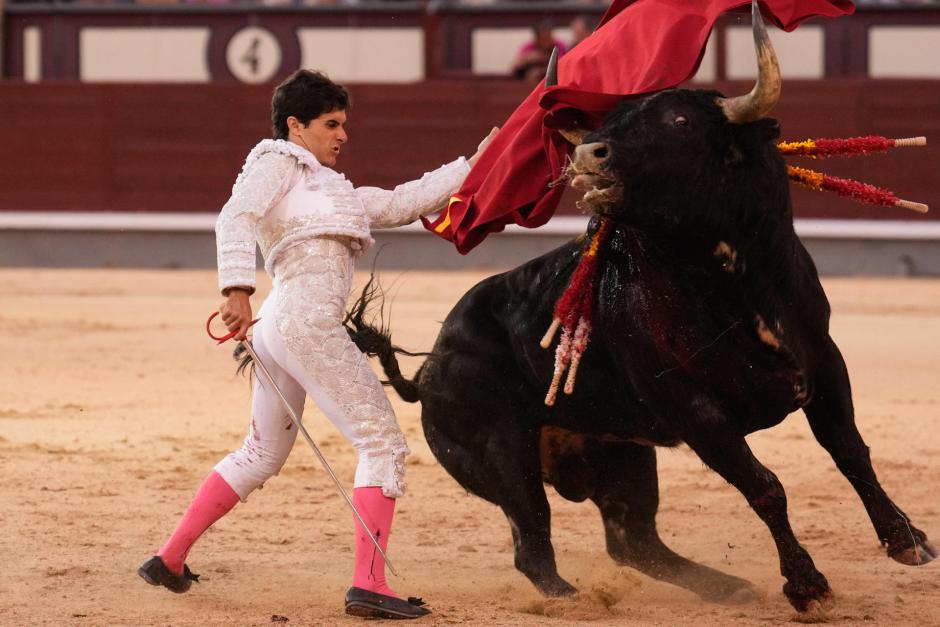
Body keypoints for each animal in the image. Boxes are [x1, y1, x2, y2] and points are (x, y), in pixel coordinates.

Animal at [340, 2, 932, 612]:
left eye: (680, 122)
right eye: (609, 124)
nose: (586, 153)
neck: (733, 288)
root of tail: (429, 368)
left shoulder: (822, 361)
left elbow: (850, 451)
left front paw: (907, 541)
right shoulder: (695, 410)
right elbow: (765, 486)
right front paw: (807, 584)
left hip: (621, 454)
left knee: (634, 538)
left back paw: (730, 588)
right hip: (502, 454)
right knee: (534, 539)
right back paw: (573, 599)